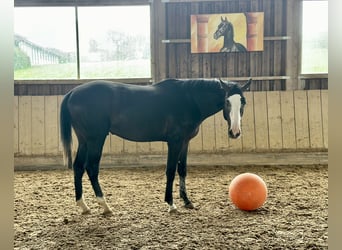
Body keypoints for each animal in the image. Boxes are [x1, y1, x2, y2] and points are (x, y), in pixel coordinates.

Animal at [59, 78, 251, 215]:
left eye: (243, 102)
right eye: (227, 101)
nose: (235, 132)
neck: (188, 100)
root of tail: (73, 92)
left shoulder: (185, 142)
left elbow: (182, 170)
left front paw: (187, 201)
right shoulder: (174, 142)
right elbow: (171, 171)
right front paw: (171, 204)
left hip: (84, 140)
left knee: (78, 167)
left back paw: (84, 206)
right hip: (95, 139)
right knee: (91, 168)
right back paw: (105, 206)